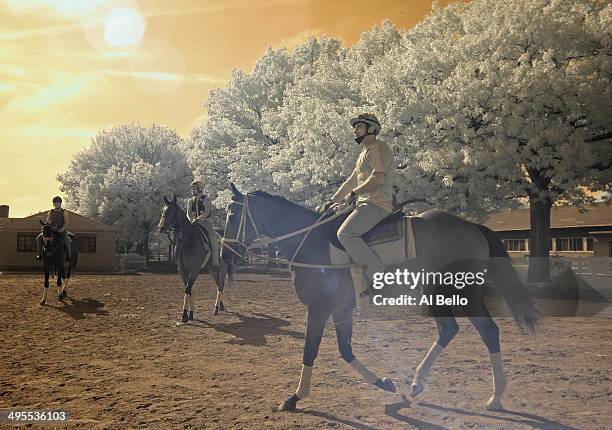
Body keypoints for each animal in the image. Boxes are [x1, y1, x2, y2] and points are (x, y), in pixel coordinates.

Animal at [222, 185, 536, 414]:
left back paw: (495, 397)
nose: (225, 253)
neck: (311, 242)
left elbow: (310, 350)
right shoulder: (341, 309)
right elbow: (345, 350)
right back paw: (418, 384)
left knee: (487, 331)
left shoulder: (320, 307)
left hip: (462, 294)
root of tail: (471, 227)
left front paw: (295, 397)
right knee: (450, 330)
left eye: (231, 216)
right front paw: (384, 383)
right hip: (436, 292)